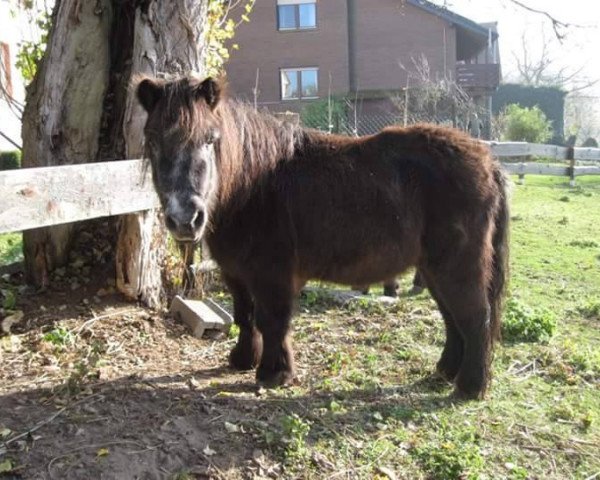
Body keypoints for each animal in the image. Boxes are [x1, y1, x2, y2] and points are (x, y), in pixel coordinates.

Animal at [138, 76, 508, 398]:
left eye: (209, 139)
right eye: (154, 141)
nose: (185, 218)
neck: (251, 186)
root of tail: (490, 164)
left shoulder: (272, 275)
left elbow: (272, 321)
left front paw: (274, 373)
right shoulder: (236, 273)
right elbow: (245, 316)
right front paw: (242, 360)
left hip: (456, 266)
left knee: (475, 317)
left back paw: (470, 387)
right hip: (433, 269)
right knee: (452, 318)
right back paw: (446, 372)